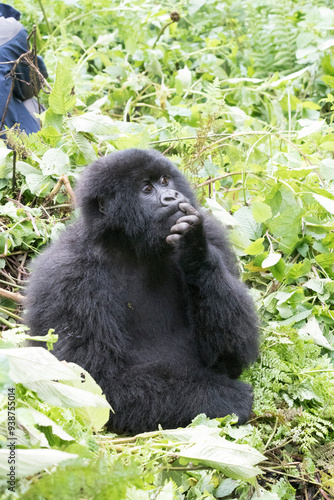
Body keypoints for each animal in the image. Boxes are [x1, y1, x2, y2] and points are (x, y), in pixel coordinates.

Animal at [24, 147, 260, 434]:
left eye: (165, 181)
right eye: (146, 189)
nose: (172, 196)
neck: (130, 246)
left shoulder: (215, 236)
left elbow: (229, 357)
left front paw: (195, 250)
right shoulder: (67, 277)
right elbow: (97, 381)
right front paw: (228, 398)